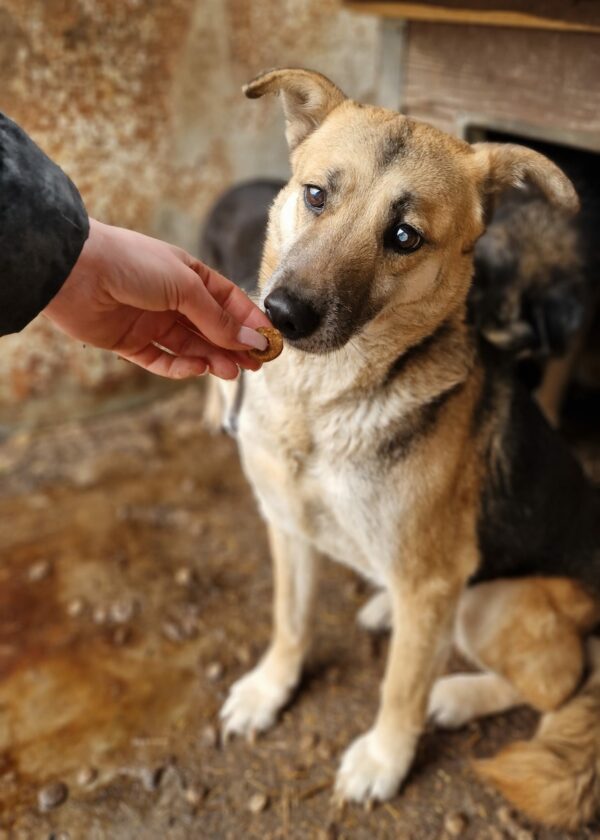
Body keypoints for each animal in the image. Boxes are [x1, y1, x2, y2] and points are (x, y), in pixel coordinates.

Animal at [214, 69, 600, 832]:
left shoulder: (431, 582)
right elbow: (289, 623)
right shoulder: (287, 527)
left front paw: (384, 760)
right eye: (315, 195)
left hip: (490, 602)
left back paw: (453, 694)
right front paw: (271, 689)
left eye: (404, 236)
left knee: (561, 684)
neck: (320, 406)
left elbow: (398, 687)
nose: (283, 315)